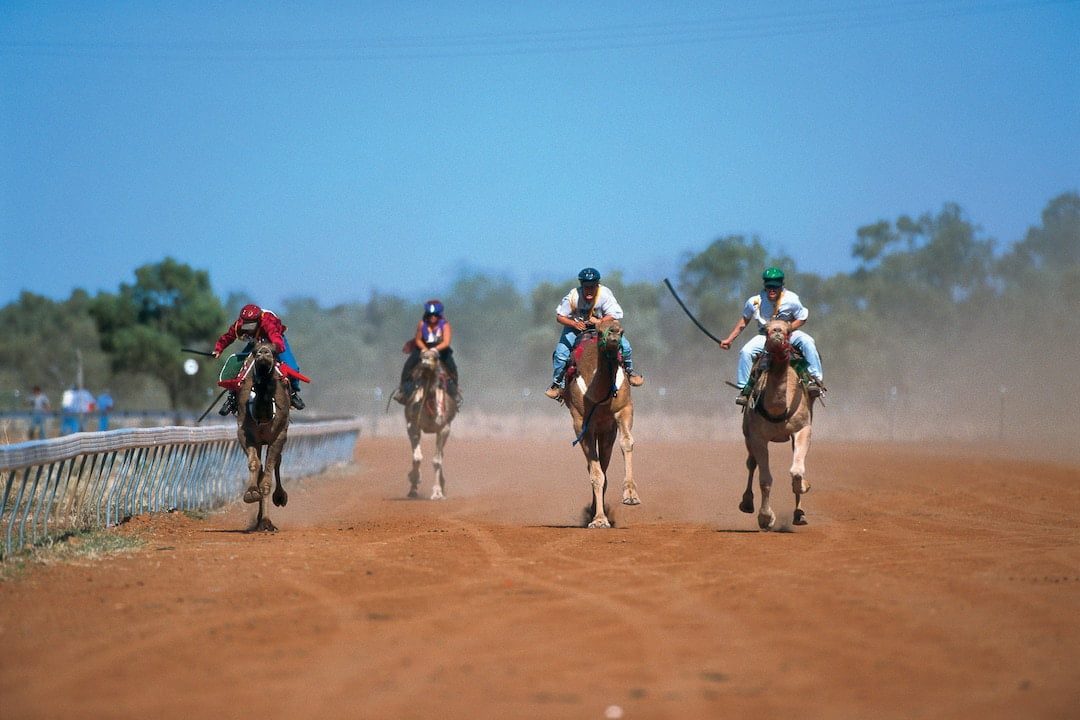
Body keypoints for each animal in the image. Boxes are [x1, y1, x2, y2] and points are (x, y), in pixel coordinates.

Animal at [234, 341, 289, 533]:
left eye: (274, 351)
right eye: (254, 350)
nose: (264, 353)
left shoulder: (279, 435)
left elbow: (267, 477)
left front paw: (266, 522)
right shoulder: (245, 434)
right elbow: (254, 464)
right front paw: (251, 493)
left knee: (276, 462)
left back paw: (279, 498)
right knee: (261, 466)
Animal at [406, 349, 455, 500]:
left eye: (435, 357)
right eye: (421, 356)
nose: (425, 361)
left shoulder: (444, 428)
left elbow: (437, 460)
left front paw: (437, 493)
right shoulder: (412, 425)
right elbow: (417, 457)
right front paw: (414, 482)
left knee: (441, 455)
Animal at [561, 317, 635, 526]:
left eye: (622, 331)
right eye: (601, 332)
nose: (614, 336)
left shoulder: (623, 409)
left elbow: (627, 443)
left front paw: (631, 495)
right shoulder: (581, 422)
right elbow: (595, 473)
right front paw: (599, 520)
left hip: (607, 431)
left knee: (604, 464)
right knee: (594, 467)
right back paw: (595, 512)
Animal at [738, 319, 812, 528]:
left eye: (788, 331)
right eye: (766, 329)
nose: (777, 334)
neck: (778, 409)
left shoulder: (803, 428)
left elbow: (796, 470)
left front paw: (803, 487)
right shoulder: (757, 437)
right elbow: (765, 479)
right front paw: (765, 518)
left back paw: (799, 514)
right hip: (747, 434)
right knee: (751, 464)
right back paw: (747, 503)